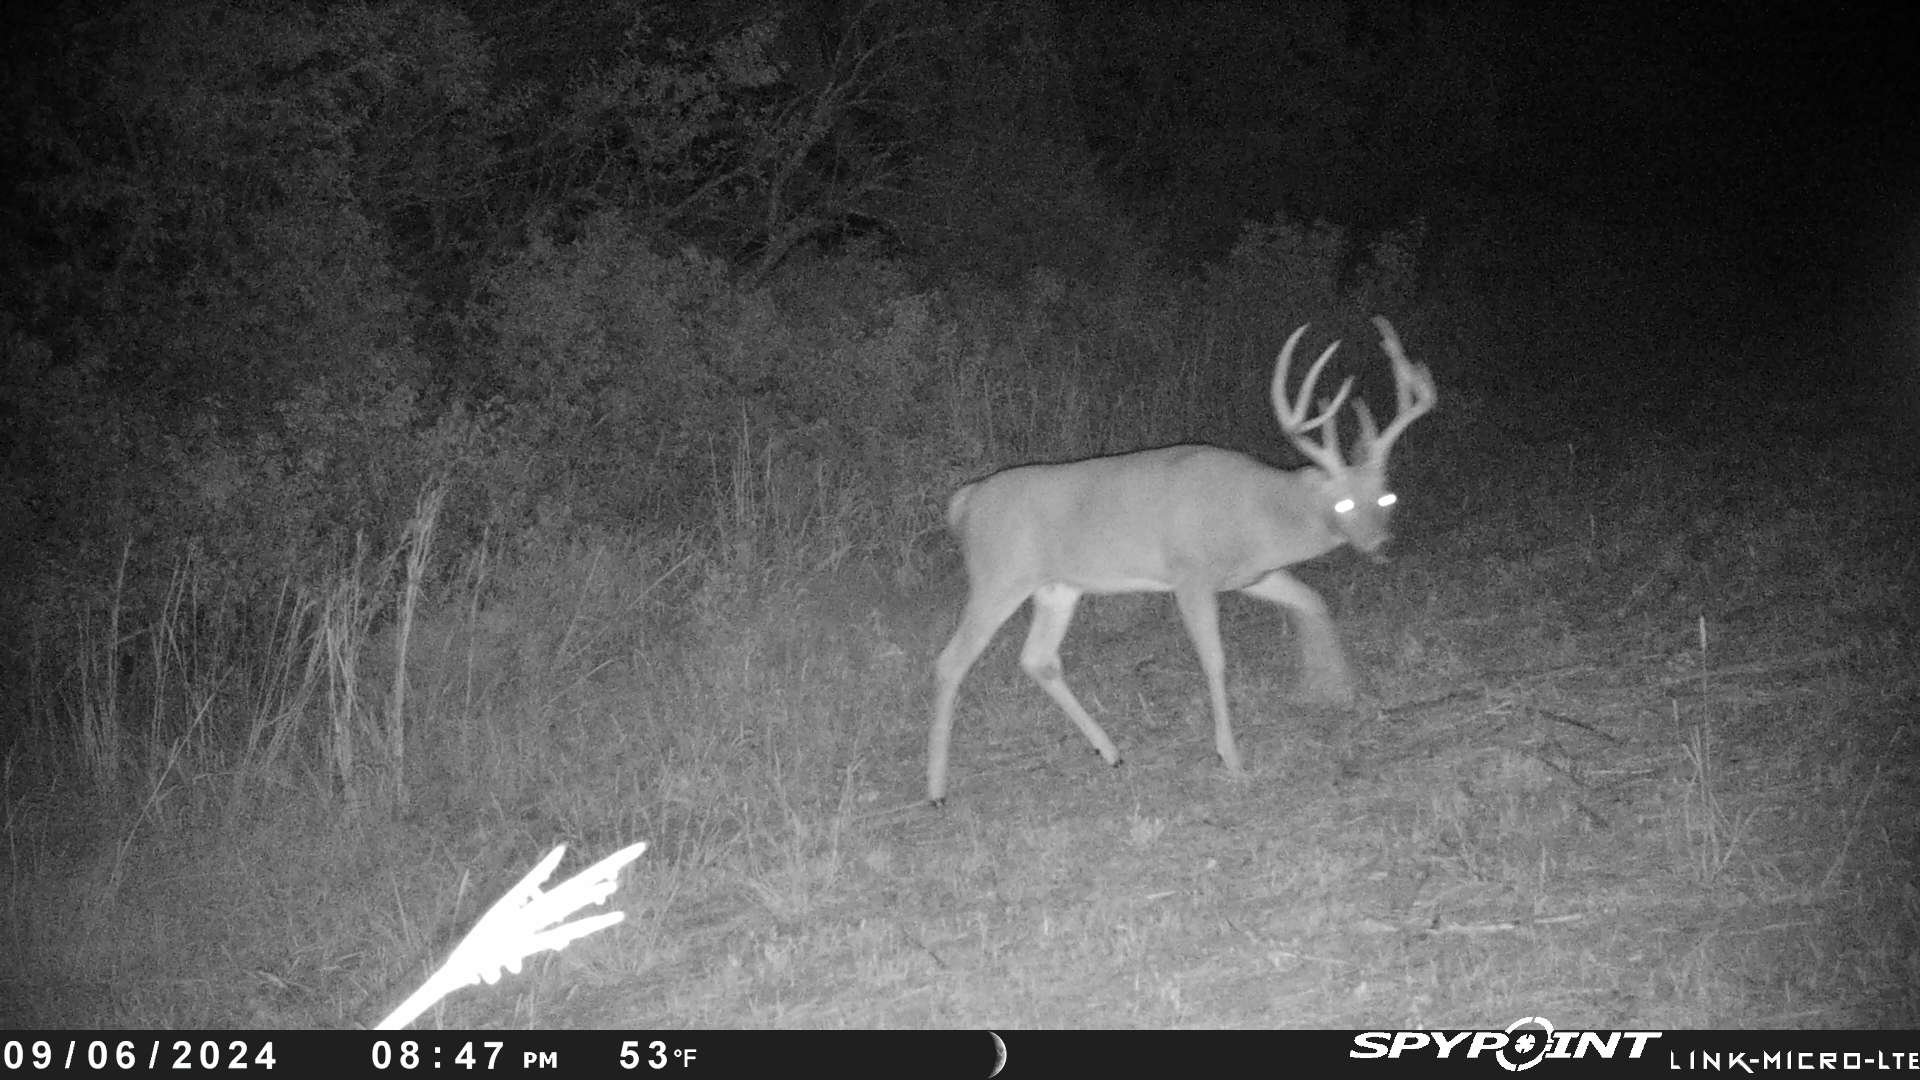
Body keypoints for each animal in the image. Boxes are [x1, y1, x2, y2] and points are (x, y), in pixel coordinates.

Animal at [927, 316, 1437, 804]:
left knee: (1038, 658)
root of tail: (964, 502)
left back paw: (1111, 752)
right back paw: (936, 789)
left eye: (1387, 497)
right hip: (999, 577)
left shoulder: (1252, 575)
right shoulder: (1192, 575)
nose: (1381, 545)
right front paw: (1231, 758)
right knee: (950, 662)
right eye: (1344, 504)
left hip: (1057, 589)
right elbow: (1214, 659)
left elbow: (1313, 602)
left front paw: (1332, 691)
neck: (1258, 513)